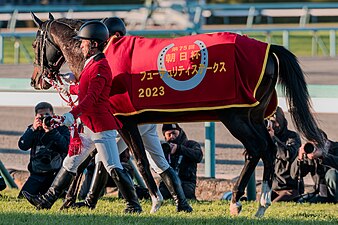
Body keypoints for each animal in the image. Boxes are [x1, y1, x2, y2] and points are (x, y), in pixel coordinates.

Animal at [29, 13, 324, 217]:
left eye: (34, 43)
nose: (36, 80)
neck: (104, 55)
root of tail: (269, 49)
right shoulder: (117, 123)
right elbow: (98, 158)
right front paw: (66, 200)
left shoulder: (124, 121)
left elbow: (136, 161)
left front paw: (154, 202)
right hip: (253, 117)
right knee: (265, 150)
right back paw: (252, 203)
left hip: (236, 117)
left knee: (260, 148)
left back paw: (249, 201)